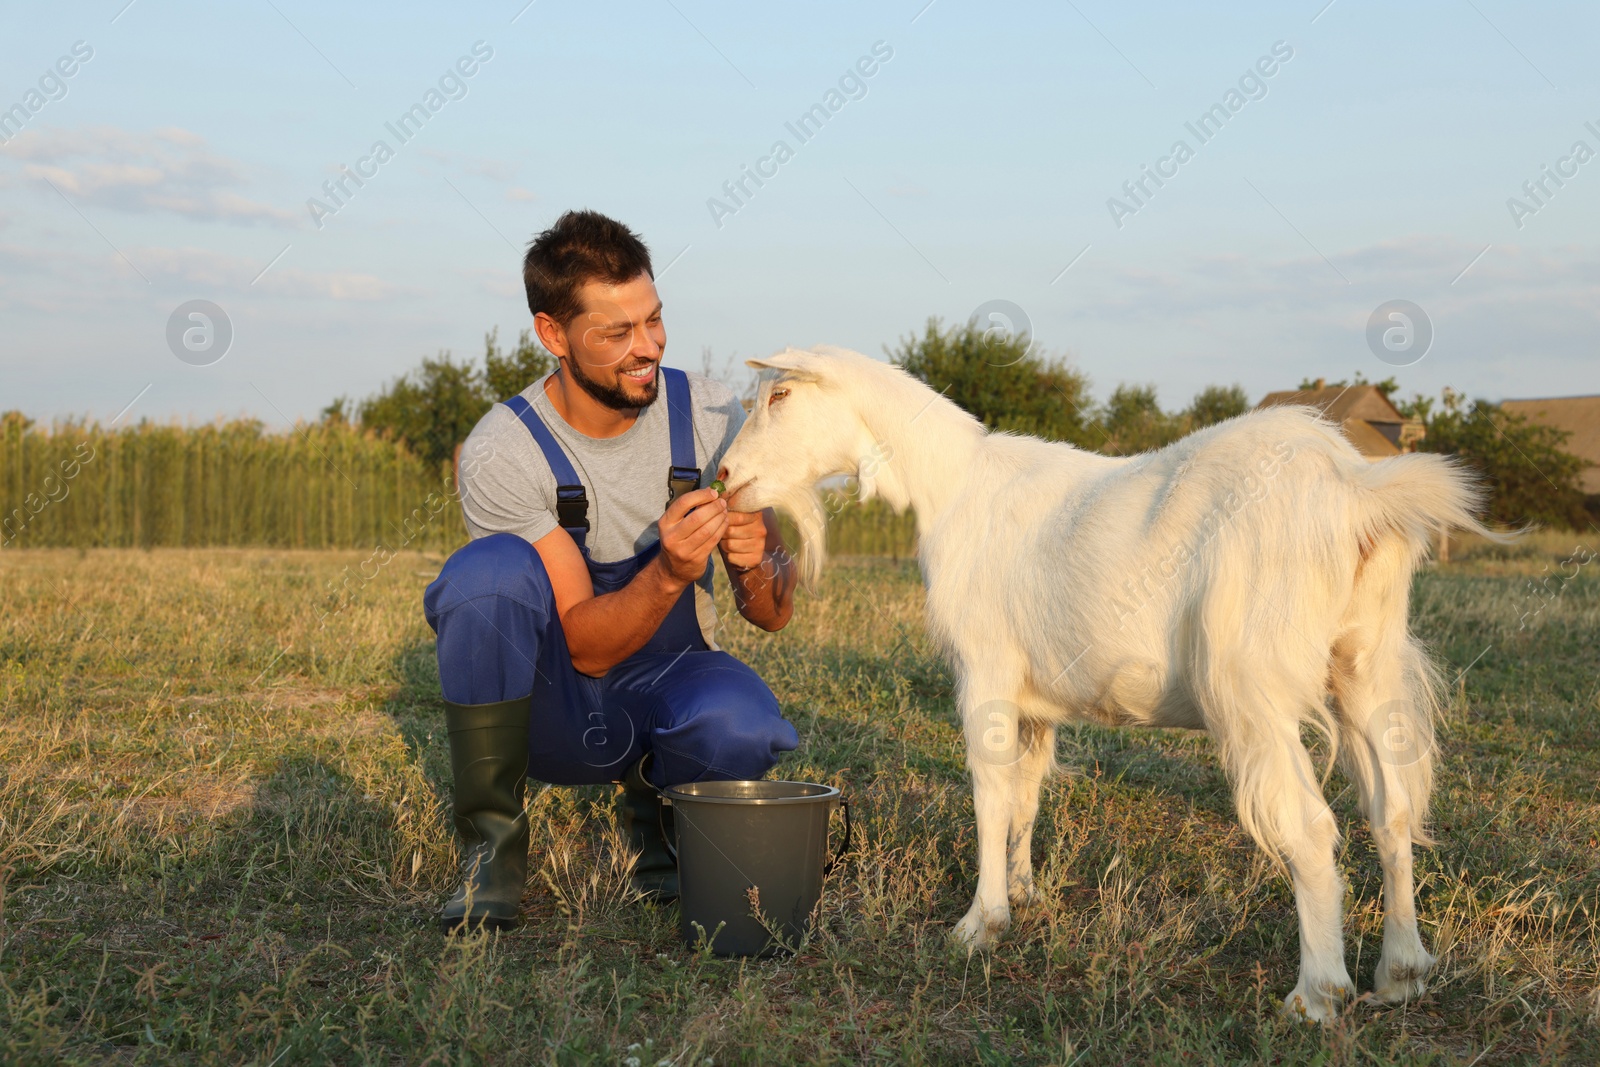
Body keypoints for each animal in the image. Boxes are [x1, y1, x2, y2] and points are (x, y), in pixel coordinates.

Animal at [720, 347, 1491, 1023]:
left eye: (779, 395)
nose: (725, 475)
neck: (953, 482)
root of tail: (1353, 489)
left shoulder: (985, 666)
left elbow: (989, 790)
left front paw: (978, 925)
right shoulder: (1034, 698)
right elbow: (1026, 791)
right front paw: (1025, 894)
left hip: (1252, 682)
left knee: (1308, 825)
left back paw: (1317, 996)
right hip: (1365, 663)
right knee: (1393, 811)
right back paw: (1401, 974)